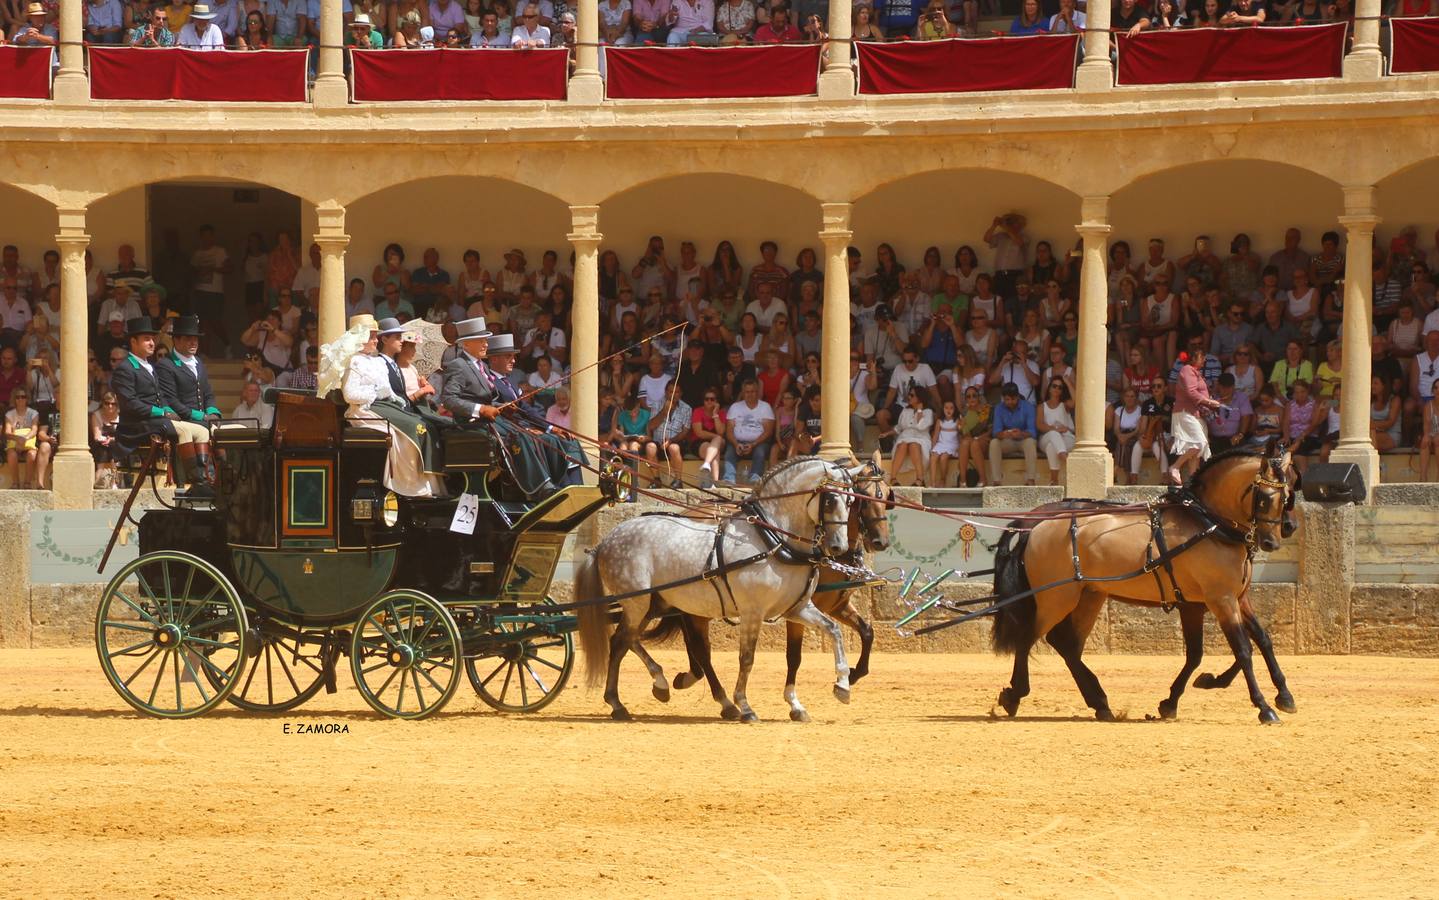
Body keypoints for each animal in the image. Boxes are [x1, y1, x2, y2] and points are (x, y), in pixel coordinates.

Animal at [995, 437, 1300, 725]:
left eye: (1288, 493)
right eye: (1265, 497)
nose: (1275, 539)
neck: (1208, 524)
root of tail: (1038, 525)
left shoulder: (1220, 600)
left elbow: (1255, 641)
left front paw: (1281, 694)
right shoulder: (1220, 599)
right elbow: (1243, 649)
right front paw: (1263, 707)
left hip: (1088, 596)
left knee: (1066, 644)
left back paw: (1099, 702)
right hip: (1055, 599)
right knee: (1028, 638)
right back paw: (1015, 694)